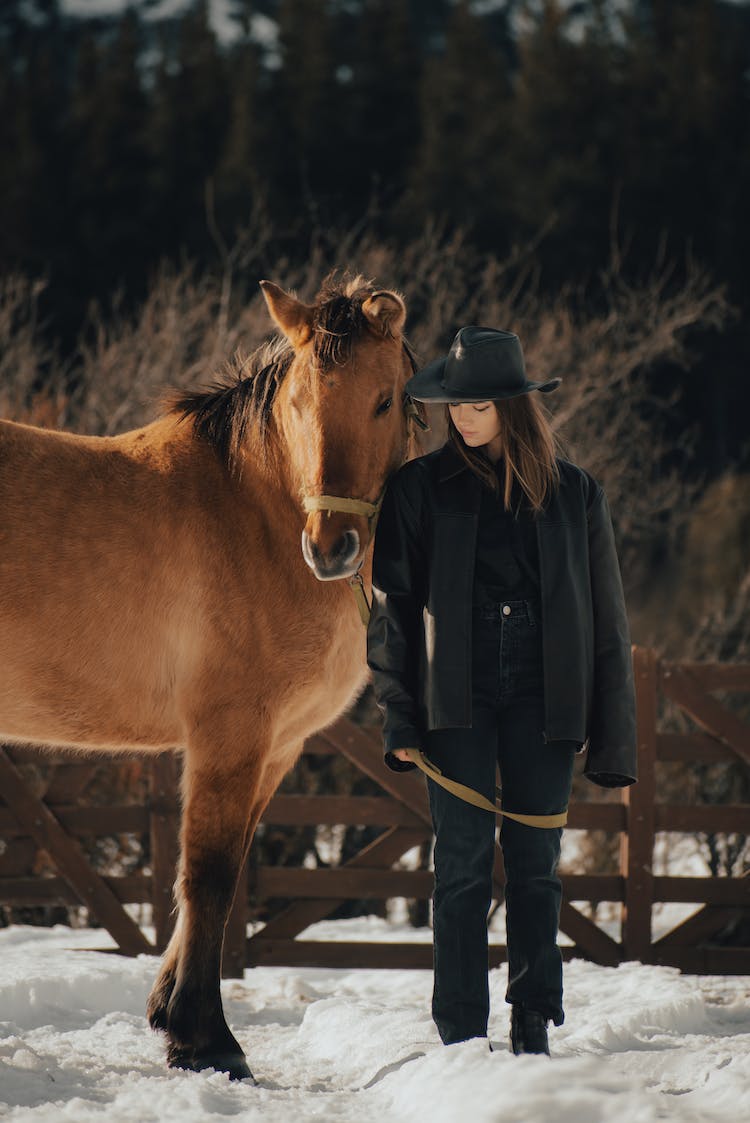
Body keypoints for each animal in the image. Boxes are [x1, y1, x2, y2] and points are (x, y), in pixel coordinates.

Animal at [0, 271, 424, 1078]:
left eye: (384, 399)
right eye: (299, 405)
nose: (330, 548)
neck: (253, 516)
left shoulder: (277, 746)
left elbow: (220, 876)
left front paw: (175, 1017)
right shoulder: (230, 735)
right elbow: (210, 875)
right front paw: (208, 1040)